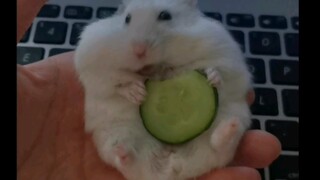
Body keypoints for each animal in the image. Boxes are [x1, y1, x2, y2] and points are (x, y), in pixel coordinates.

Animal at [74, 0, 252, 180]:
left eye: (165, 16)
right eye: (127, 19)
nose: (139, 50)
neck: (159, 69)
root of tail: (174, 168)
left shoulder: (224, 54)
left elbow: (219, 70)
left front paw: (212, 79)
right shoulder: (94, 68)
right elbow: (115, 85)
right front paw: (138, 93)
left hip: (228, 119)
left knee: (219, 146)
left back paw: (230, 126)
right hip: (112, 133)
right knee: (125, 159)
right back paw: (122, 149)